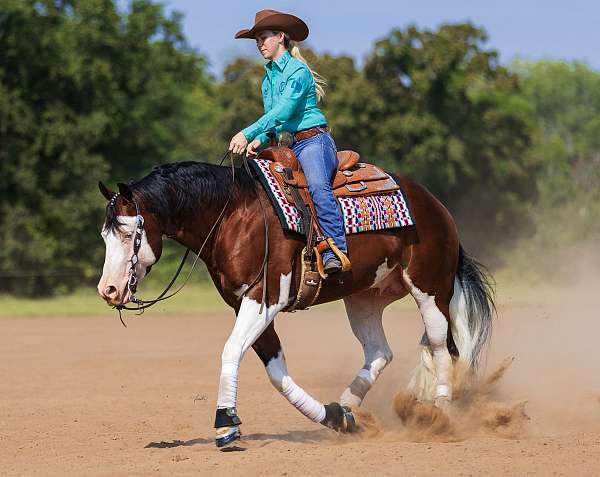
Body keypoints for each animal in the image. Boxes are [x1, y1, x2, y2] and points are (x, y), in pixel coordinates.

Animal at [97, 159, 492, 446]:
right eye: (104, 234)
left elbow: (231, 350)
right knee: (380, 352)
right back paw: (349, 410)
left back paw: (438, 415)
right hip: (365, 298)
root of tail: (436, 206)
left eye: (130, 233)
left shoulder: (264, 298)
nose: (109, 290)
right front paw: (333, 417)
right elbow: (276, 371)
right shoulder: (248, 305)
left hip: (430, 290)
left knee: (441, 347)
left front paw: (225, 421)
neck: (234, 216)